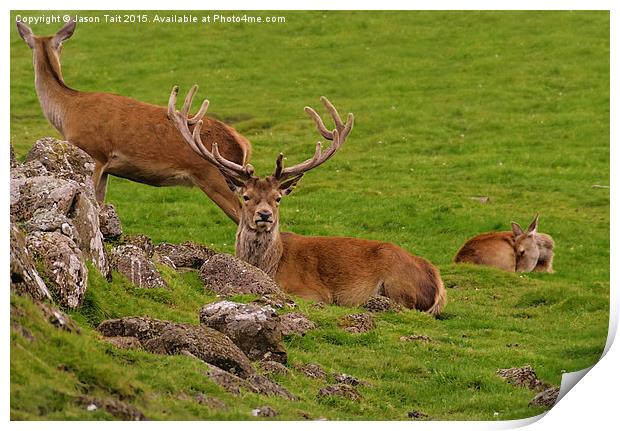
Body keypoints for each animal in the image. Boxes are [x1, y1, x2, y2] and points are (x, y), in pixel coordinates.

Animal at [15, 19, 247, 223]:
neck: (67, 113)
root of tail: (243, 144)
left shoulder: (94, 153)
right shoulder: (106, 167)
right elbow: (100, 203)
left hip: (215, 176)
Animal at [167, 89, 448, 316]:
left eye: (277, 198)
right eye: (246, 196)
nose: (264, 215)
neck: (271, 266)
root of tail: (437, 283)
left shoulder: (313, 293)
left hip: (396, 283)